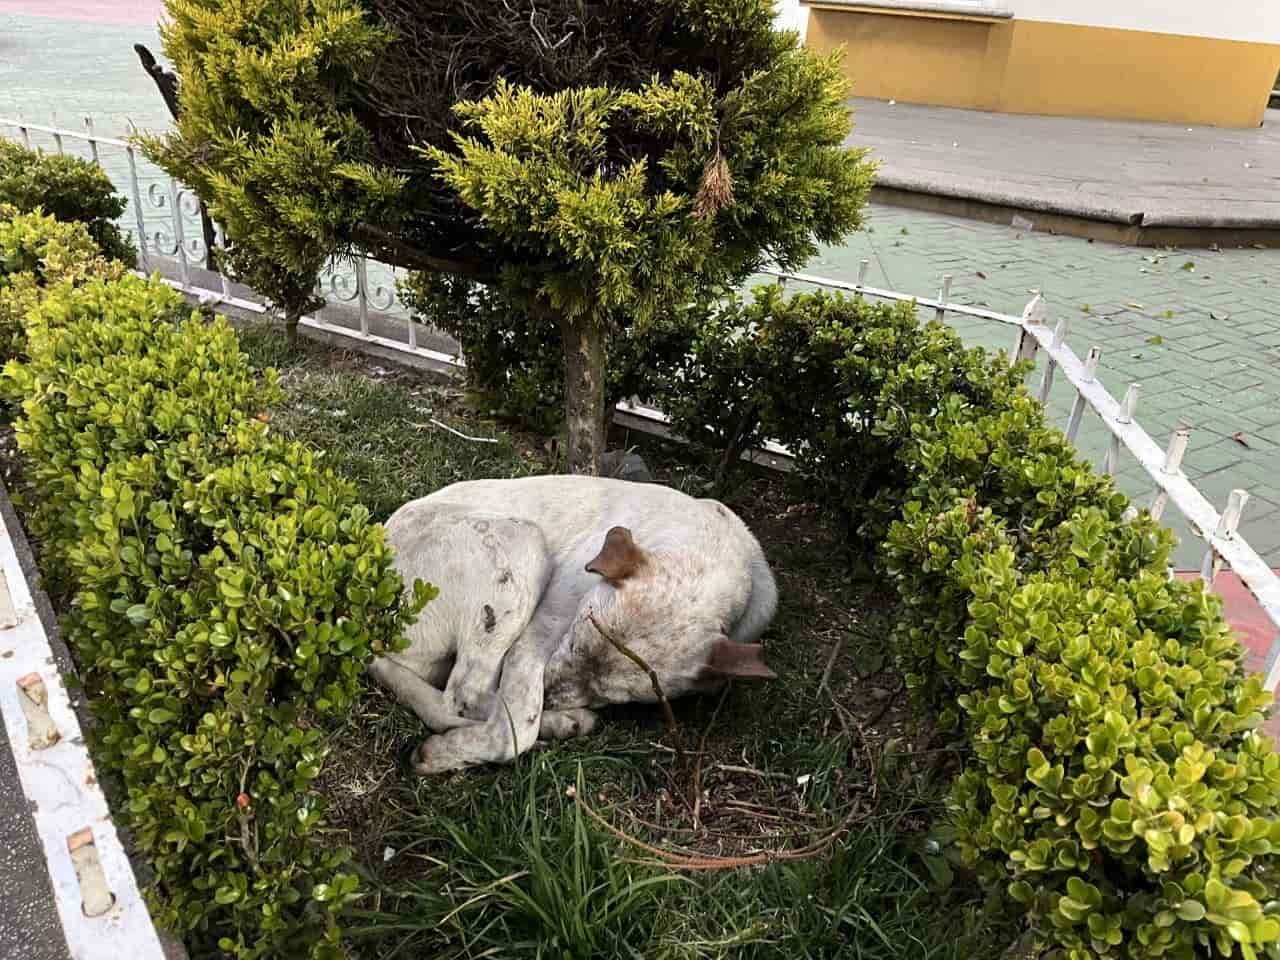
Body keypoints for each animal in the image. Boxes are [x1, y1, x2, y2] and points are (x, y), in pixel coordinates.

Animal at [366, 478, 773, 778]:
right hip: (524, 545)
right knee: (466, 695)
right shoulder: (536, 640)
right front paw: (445, 752)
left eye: (612, 697)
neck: (712, 549)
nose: (552, 694)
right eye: (575, 637)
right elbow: (513, 725)